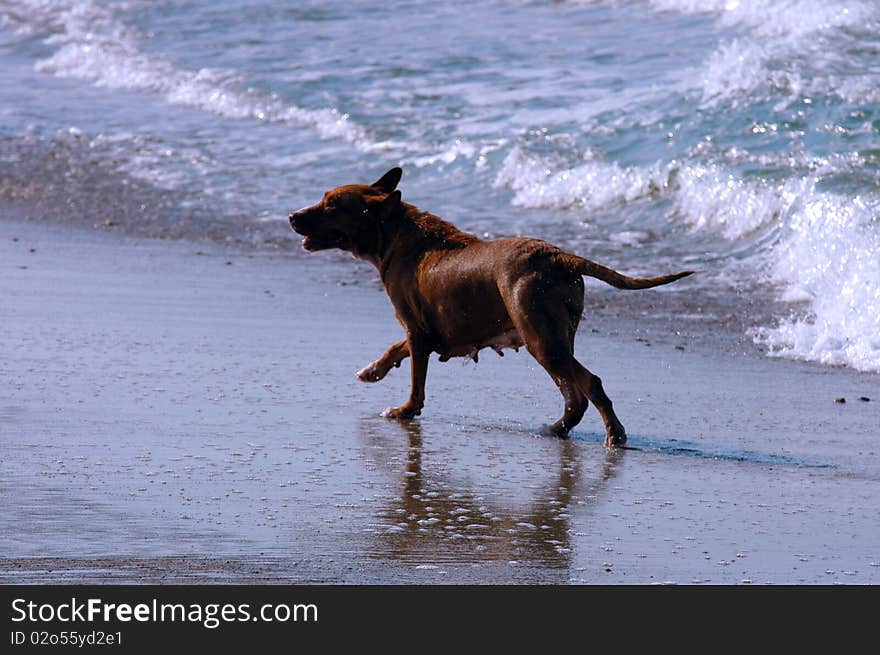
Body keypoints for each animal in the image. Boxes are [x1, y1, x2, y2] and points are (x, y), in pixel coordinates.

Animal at [292, 167, 692, 448]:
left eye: (331, 205)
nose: (293, 216)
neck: (394, 233)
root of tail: (558, 256)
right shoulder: (427, 332)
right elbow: (396, 348)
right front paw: (373, 370)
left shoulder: (418, 332)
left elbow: (416, 381)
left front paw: (404, 411)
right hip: (554, 337)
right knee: (573, 394)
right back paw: (557, 429)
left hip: (541, 339)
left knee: (588, 383)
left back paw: (614, 434)